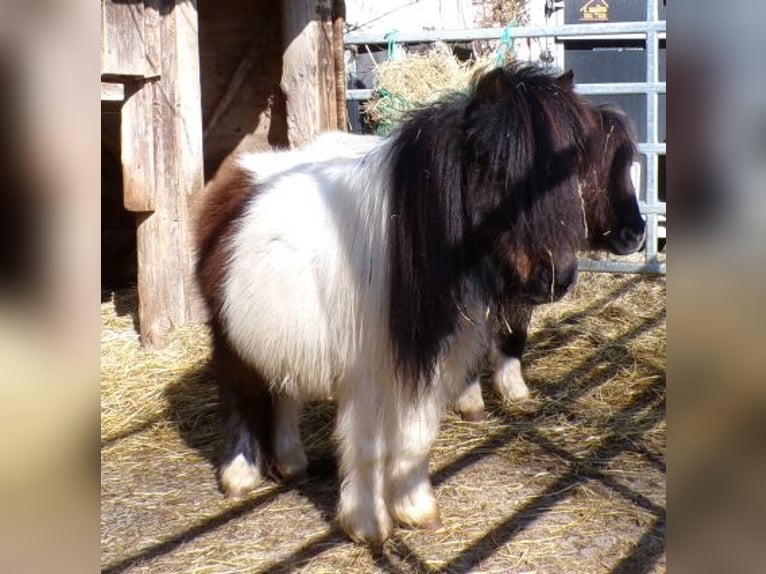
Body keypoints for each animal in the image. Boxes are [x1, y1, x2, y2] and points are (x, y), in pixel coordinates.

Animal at [195, 64, 603, 543]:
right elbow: (366, 448)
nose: (555, 276)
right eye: (497, 167)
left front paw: (415, 509)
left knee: (284, 395)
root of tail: (236, 175)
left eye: (568, 169)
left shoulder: (426, 363)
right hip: (229, 339)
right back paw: (240, 475)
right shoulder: (366, 375)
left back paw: (292, 463)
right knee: (240, 398)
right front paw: (368, 524)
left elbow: (415, 439)